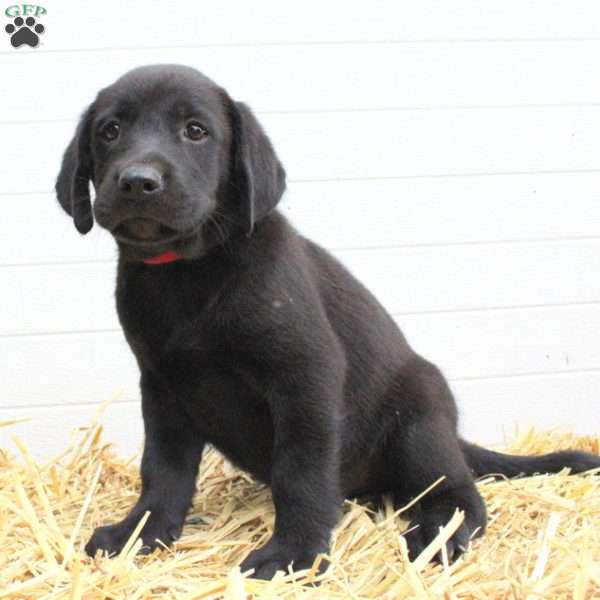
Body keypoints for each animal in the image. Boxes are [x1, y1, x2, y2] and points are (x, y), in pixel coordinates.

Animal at [55, 64, 596, 576]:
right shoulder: (163, 387)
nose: (138, 181)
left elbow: (302, 474)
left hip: (418, 420)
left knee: (460, 497)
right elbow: (163, 471)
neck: (188, 272)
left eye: (195, 130)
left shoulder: (305, 377)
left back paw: (436, 535)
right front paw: (141, 532)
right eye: (110, 131)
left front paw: (293, 555)